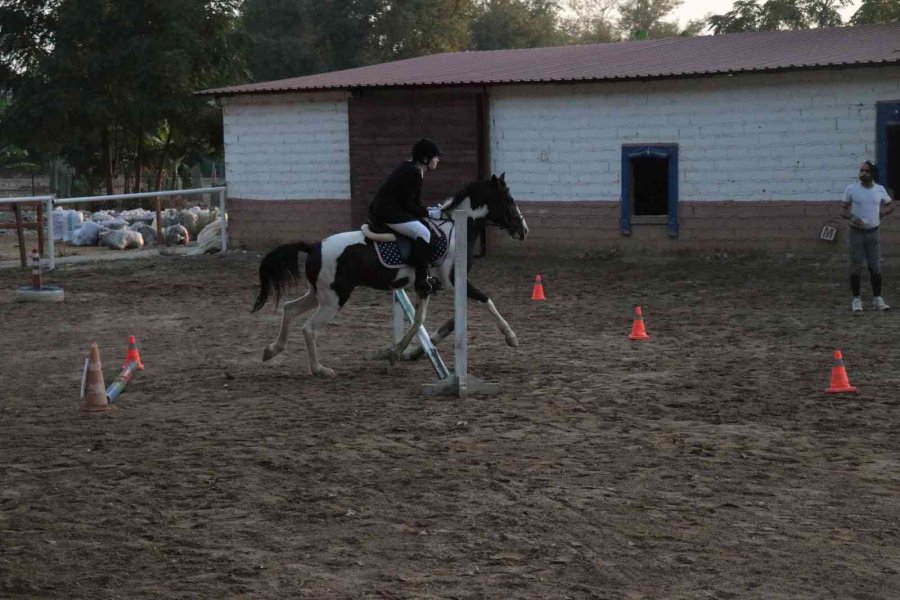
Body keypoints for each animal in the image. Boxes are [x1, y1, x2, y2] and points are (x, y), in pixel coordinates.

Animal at [253, 172, 528, 376]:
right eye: (508, 199)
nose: (523, 229)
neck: (454, 231)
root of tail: (313, 246)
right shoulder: (453, 282)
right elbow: (487, 300)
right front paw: (511, 337)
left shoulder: (425, 286)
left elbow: (419, 320)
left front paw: (398, 353)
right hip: (334, 299)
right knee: (310, 329)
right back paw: (319, 369)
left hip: (319, 294)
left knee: (289, 308)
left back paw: (272, 349)